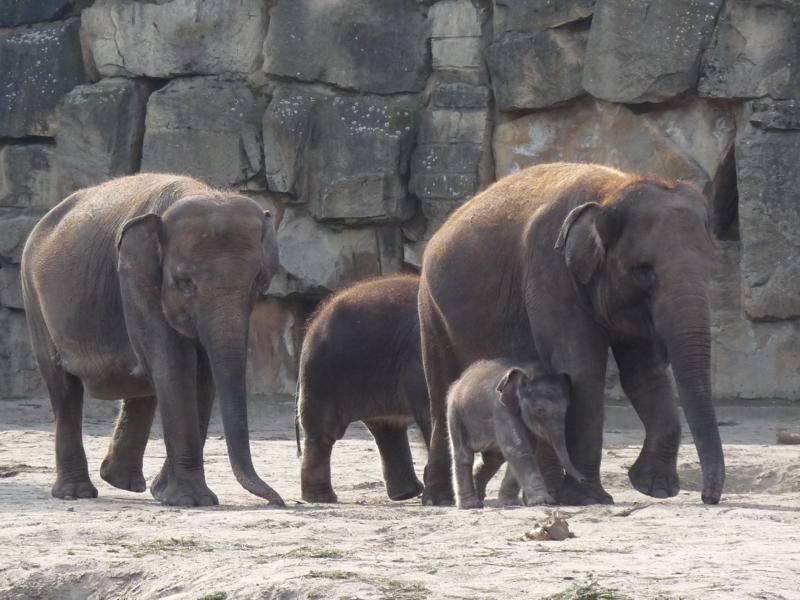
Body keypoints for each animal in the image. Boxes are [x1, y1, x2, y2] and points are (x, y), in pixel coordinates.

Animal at [21, 173, 284, 507]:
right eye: (184, 283)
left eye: (258, 281)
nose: (279, 500)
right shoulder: (135, 283)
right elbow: (175, 365)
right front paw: (190, 500)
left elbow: (202, 374)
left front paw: (168, 493)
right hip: (34, 298)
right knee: (63, 387)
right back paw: (76, 493)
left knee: (143, 384)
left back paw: (122, 482)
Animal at [447, 359, 584, 509]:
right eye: (539, 410)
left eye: (566, 409)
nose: (583, 479)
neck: (528, 373)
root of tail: (460, 379)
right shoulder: (501, 410)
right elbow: (517, 448)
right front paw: (542, 501)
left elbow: (525, 449)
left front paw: (509, 503)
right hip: (455, 413)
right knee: (464, 455)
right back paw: (470, 505)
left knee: (493, 459)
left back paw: (479, 498)